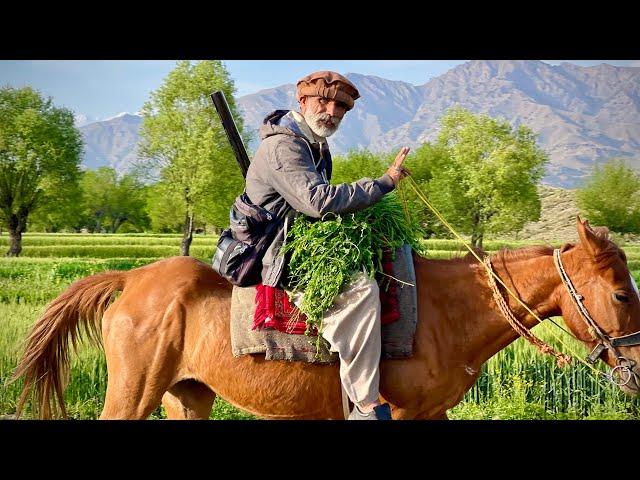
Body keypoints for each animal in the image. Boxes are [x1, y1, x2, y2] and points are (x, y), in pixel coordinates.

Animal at [10, 218, 640, 420]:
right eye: (622, 293)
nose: (636, 366)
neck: (445, 312)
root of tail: (132, 279)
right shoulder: (400, 413)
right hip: (132, 393)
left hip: (187, 394)